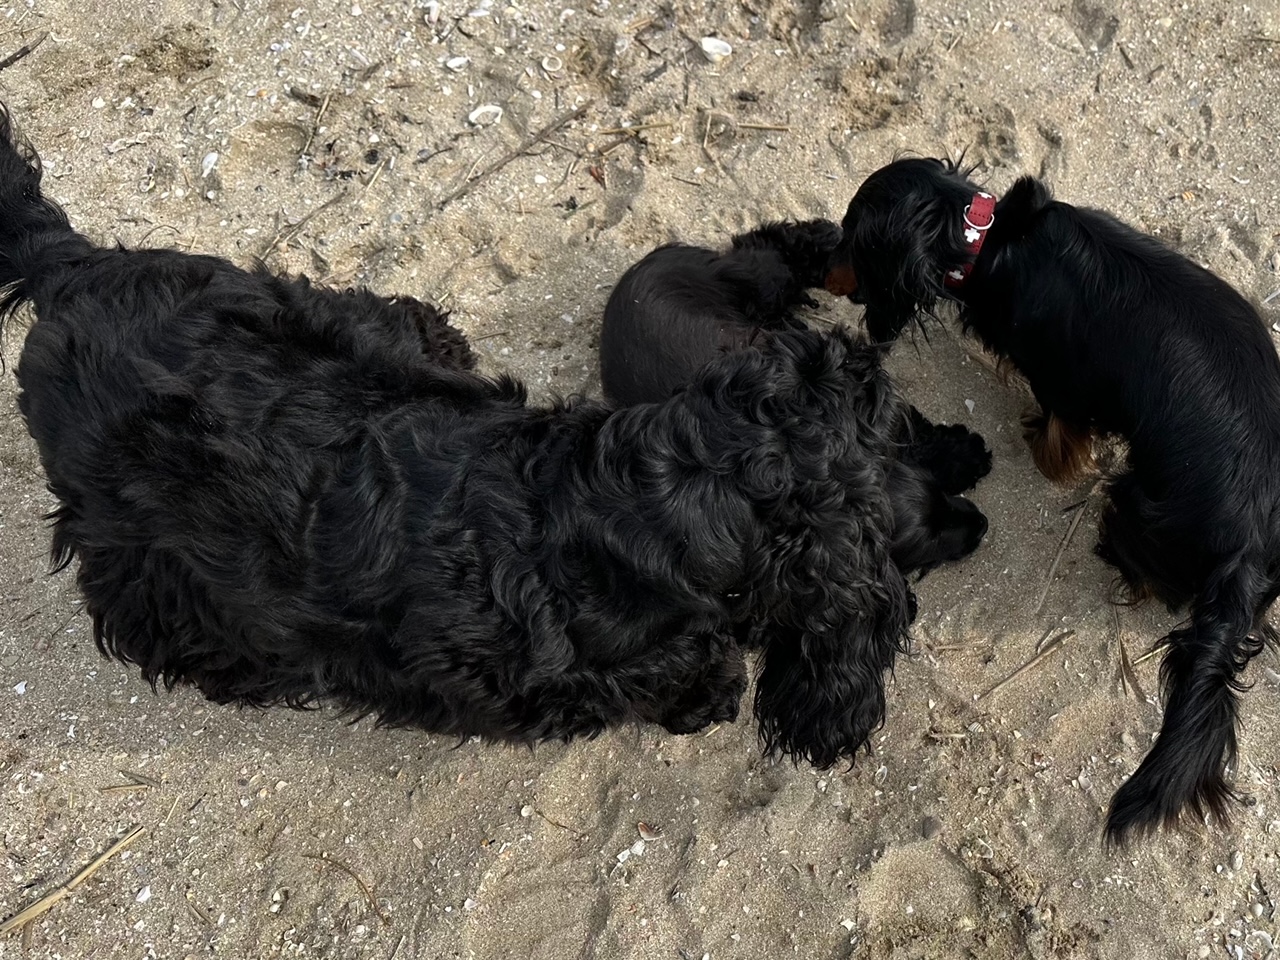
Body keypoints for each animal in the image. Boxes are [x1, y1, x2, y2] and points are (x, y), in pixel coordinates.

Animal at [2, 106, 921, 768]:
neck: (652, 506)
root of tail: (70, 271)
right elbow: (683, 676)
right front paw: (711, 698)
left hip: (306, 305)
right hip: (134, 549)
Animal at [599, 224, 988, 578]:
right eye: (928, 539)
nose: (982, 523)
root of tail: (649, 260)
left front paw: (965, 453)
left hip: (758, 282)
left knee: (763, 244)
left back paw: (825, 241)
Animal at [824, 154, 1280, 844]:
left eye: (852, 240)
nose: (826, 268)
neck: (989, 240)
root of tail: (1248, 549)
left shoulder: (1061, 386)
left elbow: (1059, 431)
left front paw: (1040, 446)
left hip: (1134, 504)